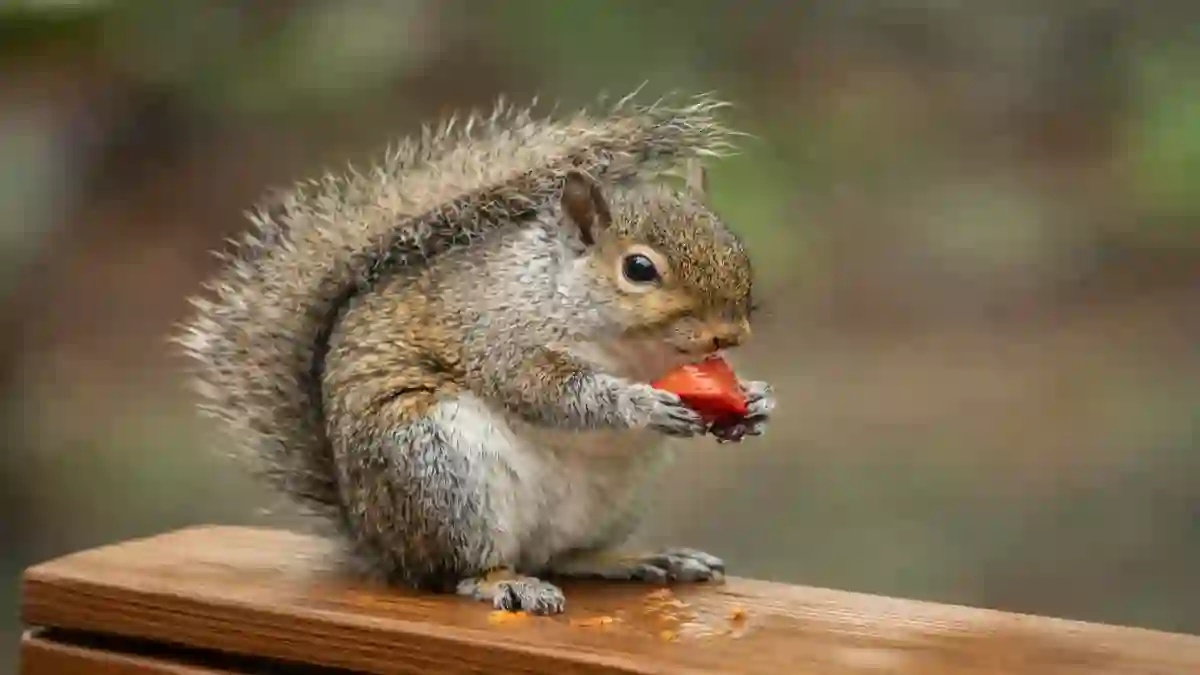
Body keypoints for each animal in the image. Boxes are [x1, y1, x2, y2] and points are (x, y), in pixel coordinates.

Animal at [177, 90, 775, 615]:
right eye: (639, 268)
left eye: (735, 245)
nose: (730, 334)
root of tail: (375, 540)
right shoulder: (500, 335)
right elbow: (551, 392)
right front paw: (641, 405)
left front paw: (754, 402)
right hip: (441, 472)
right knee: (459, 569)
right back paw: (506, 583)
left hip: (611, 500)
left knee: (567, 555)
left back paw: (641, 558)